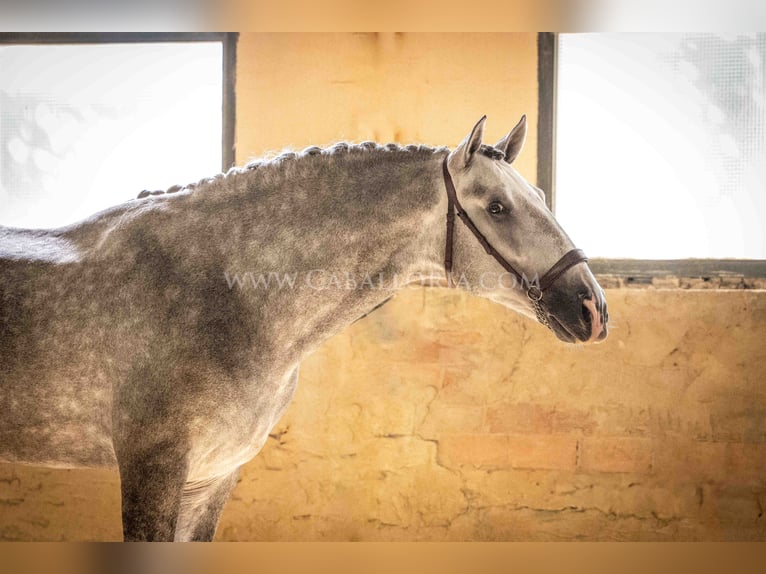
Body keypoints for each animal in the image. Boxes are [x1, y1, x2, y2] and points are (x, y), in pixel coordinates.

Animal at [0, 118, 612, 544]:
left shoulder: (211, 478)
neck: (227, 294)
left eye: (540, 198)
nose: (593, 308)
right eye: (498, 207)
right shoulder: (153, 470)